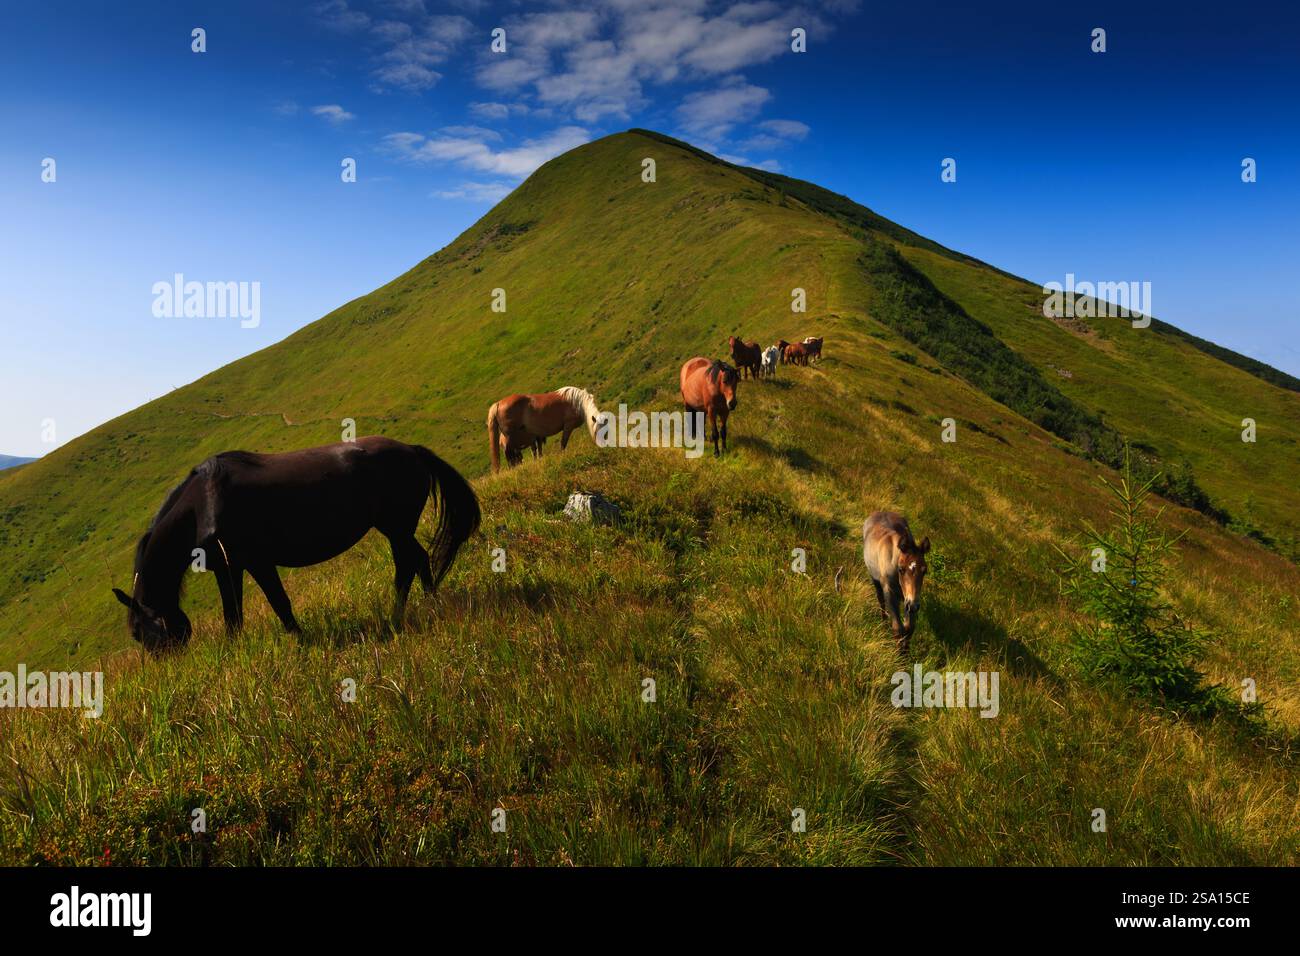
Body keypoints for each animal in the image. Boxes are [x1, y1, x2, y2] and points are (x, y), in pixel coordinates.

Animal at [112, 436, 481, 653]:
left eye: (139, 633)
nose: (167, 663)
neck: (202, 504)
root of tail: (412, 450)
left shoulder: (257, 562)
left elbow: (279, 603)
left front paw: (300, 640)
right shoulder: (227, 568)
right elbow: (234, 614)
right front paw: (233, 651)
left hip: (397, 528)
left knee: (411, 563)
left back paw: (411, 611)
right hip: (395, 529)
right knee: (414, 562)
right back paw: (416, 608)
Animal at [862, 511, 930, 655]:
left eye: (924, 570)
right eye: (901, 569)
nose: (913, 606)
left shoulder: (909, 599)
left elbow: (909, 628)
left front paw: (905, 652)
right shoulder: (891, 594)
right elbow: (898, 628)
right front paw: (899, 656)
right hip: (875, 579)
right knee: (880, 599)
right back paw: (883, 622)